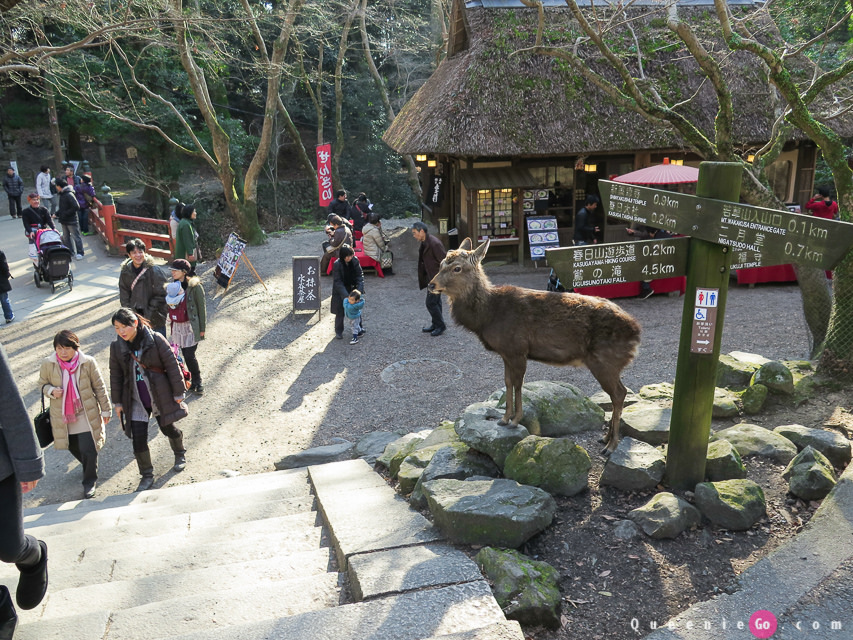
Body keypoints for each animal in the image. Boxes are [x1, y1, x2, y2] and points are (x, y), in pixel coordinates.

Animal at [430, 238, 644, 452]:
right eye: (440, 264)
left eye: (457, 268)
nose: (431, 284)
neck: (487, 316)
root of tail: (636, 331)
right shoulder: (506, 352)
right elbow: (507, 382)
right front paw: (504, 419)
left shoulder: (517, 348)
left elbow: (518, 384)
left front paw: (515, 420)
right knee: (619, 393)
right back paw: (605, 438)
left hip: (605, 361)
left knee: (619, 393)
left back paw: (612, 445)